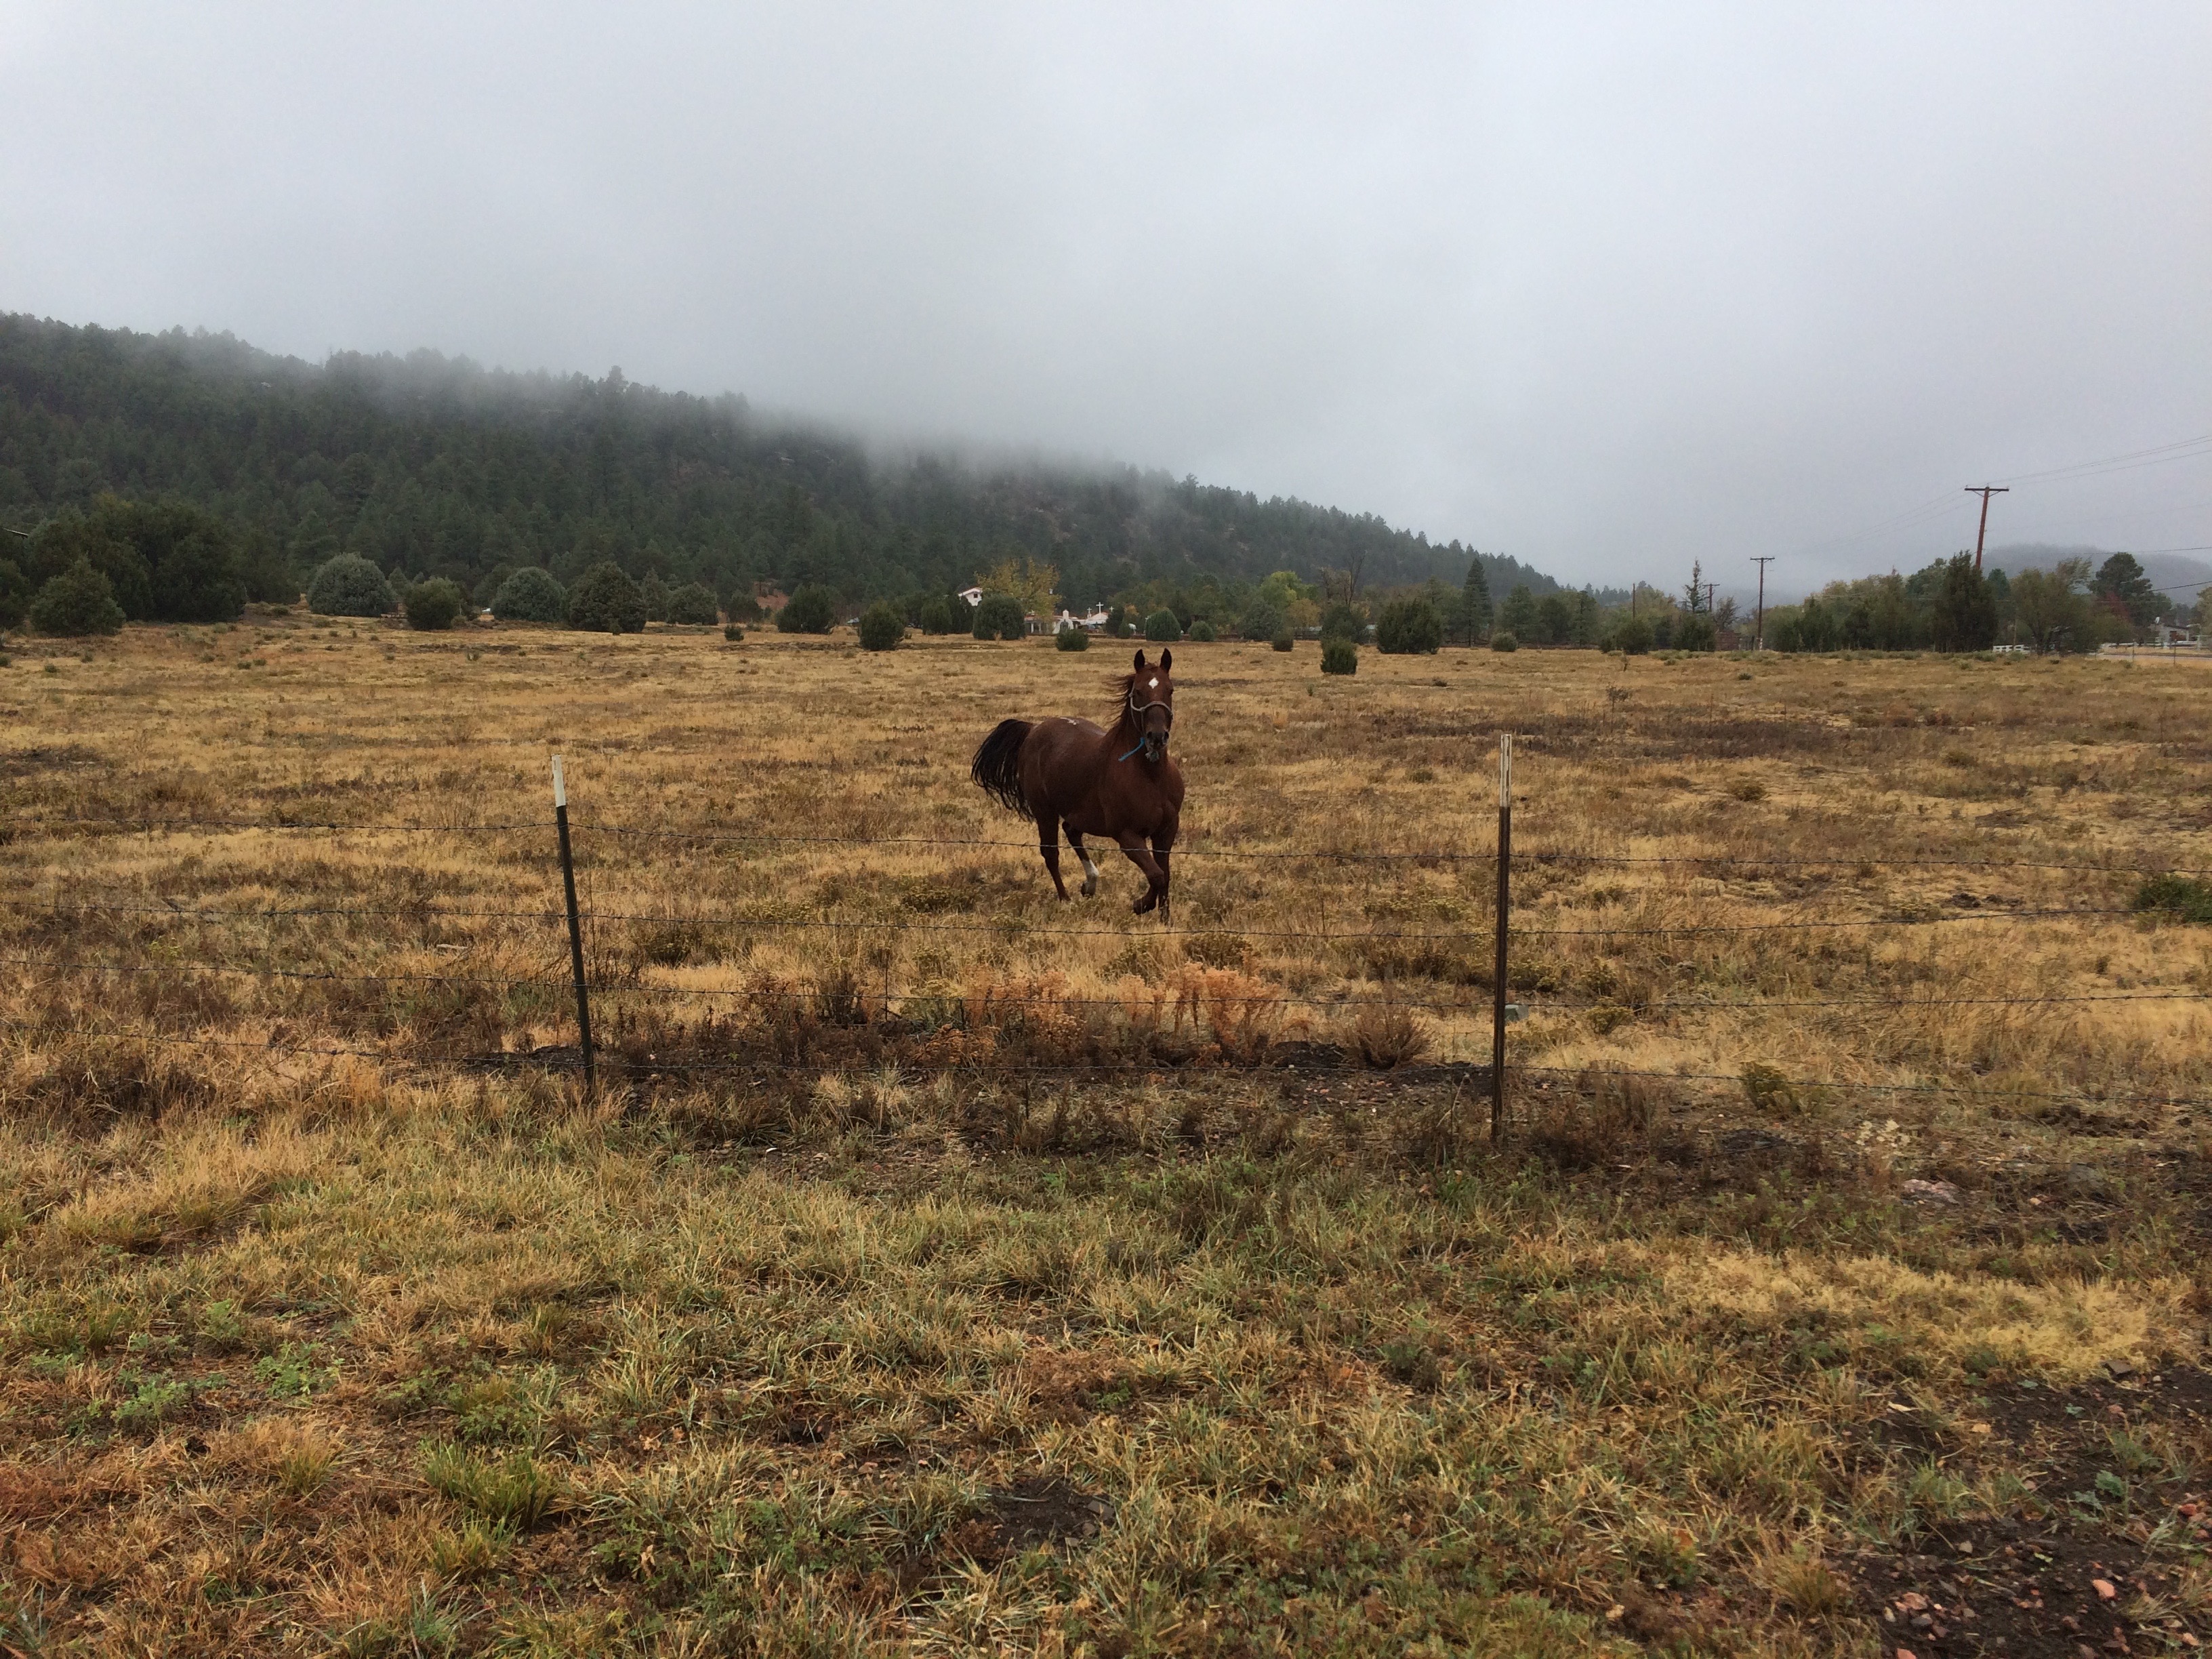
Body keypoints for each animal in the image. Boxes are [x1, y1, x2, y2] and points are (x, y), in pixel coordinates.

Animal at [969, 648, 1184, 917]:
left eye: (1170, 690)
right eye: (1138, 691)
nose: (1157, 737)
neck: (1151, 777)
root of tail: (1034, 730)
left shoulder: (1167, 830)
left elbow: (1164, 875)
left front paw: (1164, 919)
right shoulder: (1126, 835)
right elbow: (1156, 875)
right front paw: (1140, 905)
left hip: (1077, 812)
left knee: (1071, 831)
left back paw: (1090, 883)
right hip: (1044, 811)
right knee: (1051, 853)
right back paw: (1066, 899)